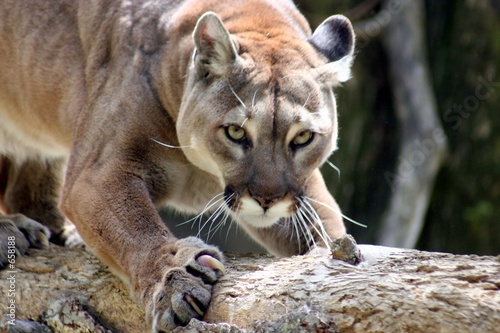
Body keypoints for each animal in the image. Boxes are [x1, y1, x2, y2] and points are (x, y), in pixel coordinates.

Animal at [0, 0, 354, 328]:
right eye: (236, 132)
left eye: (303, 137)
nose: (267, 199)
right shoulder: (95, 175)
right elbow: (135, 228)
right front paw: (174, 281)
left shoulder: (301, 192)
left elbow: (326, 225)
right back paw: (12, 232)